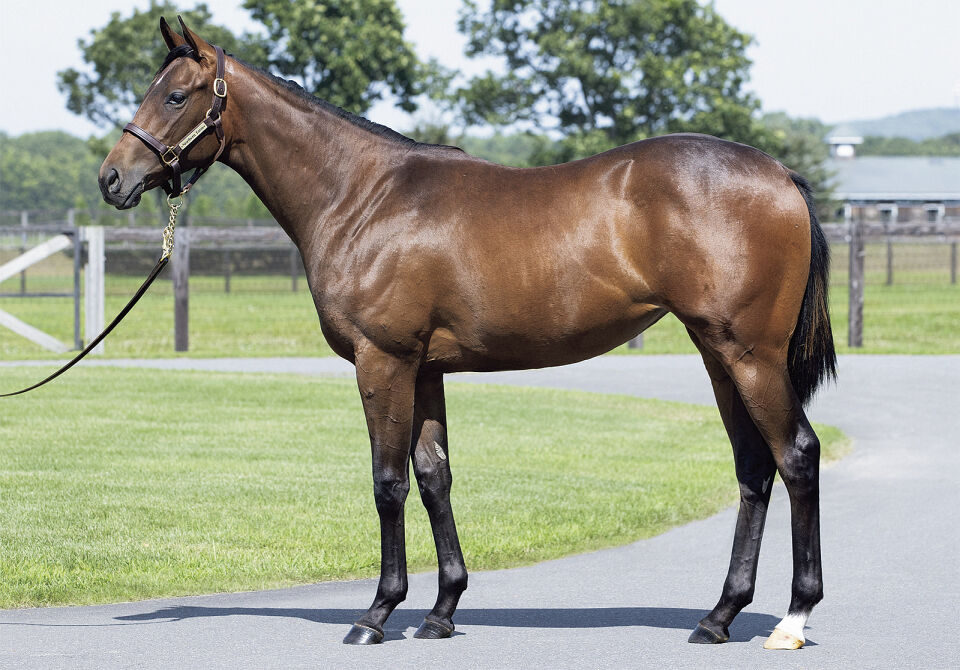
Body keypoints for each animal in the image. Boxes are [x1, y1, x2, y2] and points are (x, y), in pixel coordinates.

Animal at [99, 17, 836, 650]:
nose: (112, 179)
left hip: (750, 355)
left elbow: (387, 483)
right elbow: (434, 478)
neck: (362, 196)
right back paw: (719, 616)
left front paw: (376, 613)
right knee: (753, 468)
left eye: (175, 95)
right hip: (718, 354)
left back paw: (793, 617)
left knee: (796, 455)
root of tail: (779, 175)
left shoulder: (383, 362)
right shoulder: (425, 369)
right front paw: (442, 610)